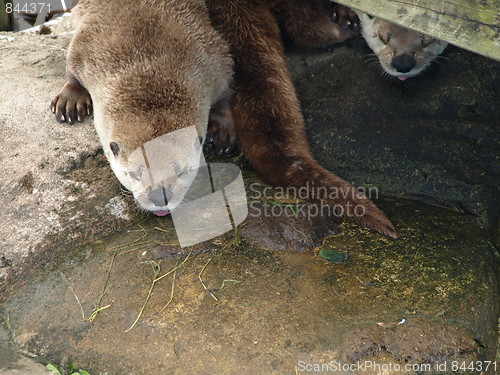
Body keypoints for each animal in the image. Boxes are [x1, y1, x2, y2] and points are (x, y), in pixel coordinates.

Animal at [49, 0, 233, 216]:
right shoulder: (88, 47)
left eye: (181, 171)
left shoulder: (212, 61)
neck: (149, 67)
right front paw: (71, 99)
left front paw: (222, 130)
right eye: (135, 173)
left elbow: (227, 91)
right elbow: (72, 64)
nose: (160, 197)